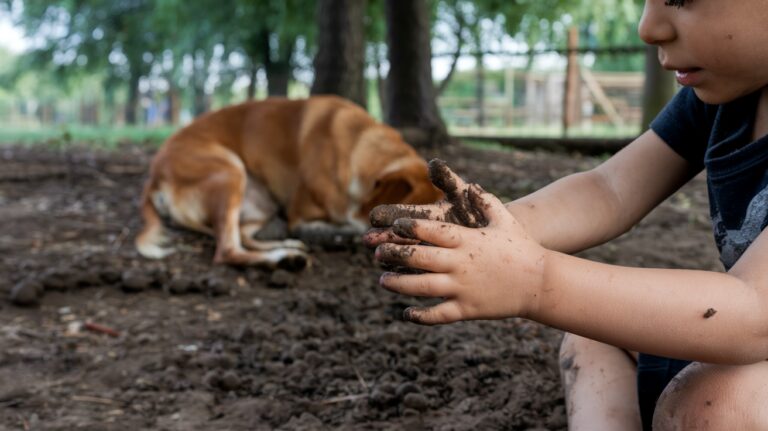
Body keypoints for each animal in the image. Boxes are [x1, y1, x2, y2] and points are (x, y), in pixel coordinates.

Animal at [135, 96, 440, 270]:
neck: (357, 147)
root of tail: (153, 175)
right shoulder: (301, 215)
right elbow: (346, 227)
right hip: (230, 171)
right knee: (228, 250)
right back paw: (279, 258)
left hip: (259, 201)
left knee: (243, 237)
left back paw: (288, 250)